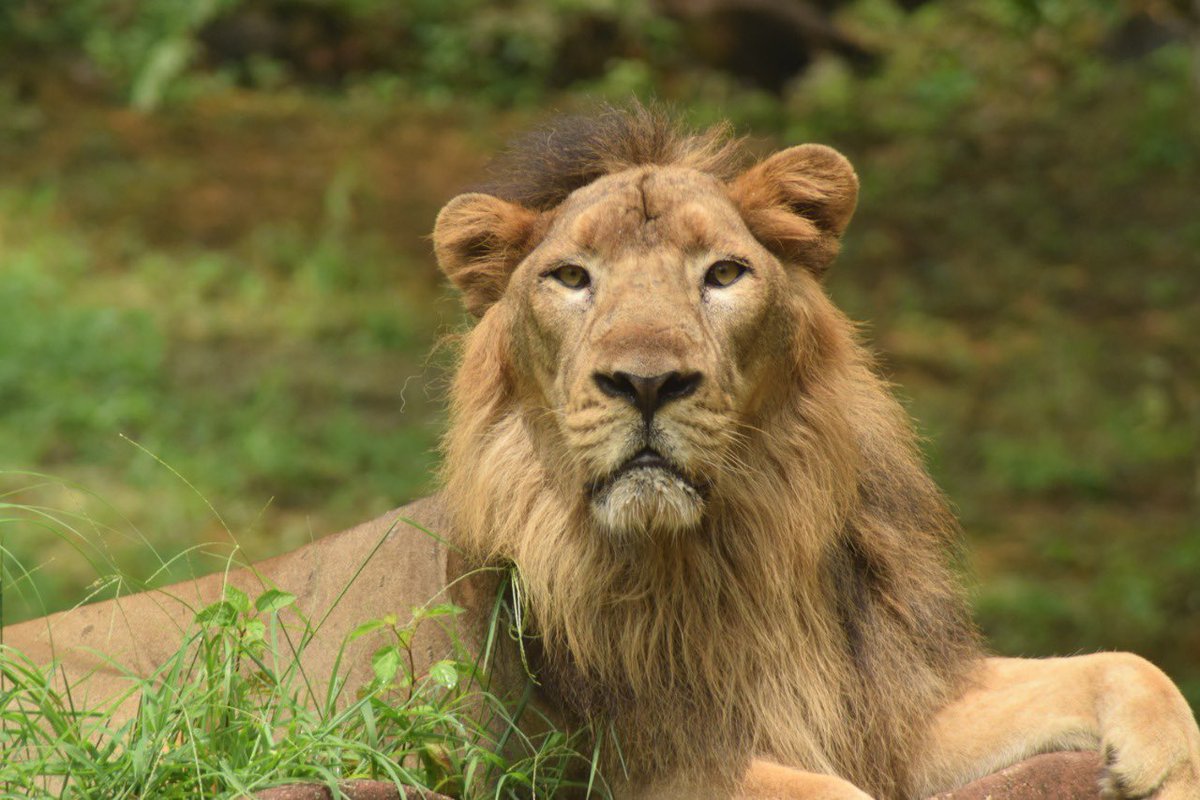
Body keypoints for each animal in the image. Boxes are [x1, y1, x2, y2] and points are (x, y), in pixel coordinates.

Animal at [4, 107, 1199, 800]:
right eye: (570, 278)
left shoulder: (893, 697)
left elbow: (1126, 663)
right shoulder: (622, 765)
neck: (737, 556)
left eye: (724, 273)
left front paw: (1159, 761)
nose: (646, 381)